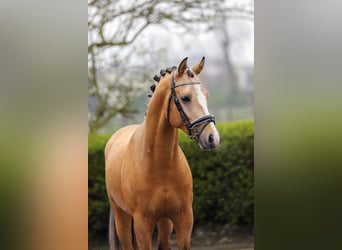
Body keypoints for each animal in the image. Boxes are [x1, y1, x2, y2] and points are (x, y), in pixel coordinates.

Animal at [105, 57, 220, 250]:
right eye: (185, 98)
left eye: (206, 95)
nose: (213, 138)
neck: (160, 163)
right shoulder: (142, 223)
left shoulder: (183, 219)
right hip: (121, 215)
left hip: (164, 222)